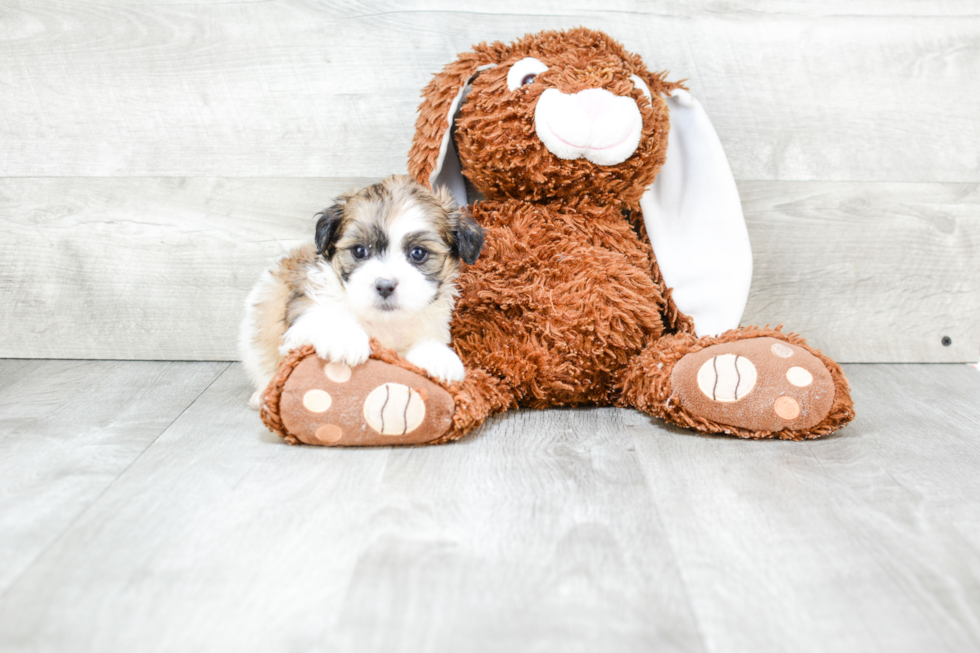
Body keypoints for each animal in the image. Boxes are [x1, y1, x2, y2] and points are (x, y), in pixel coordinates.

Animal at [237, 173, 482, 408]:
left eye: (418, 253)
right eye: (359, 251)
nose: (385, 285)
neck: (383, 322)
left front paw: (437, 356)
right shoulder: (301, 323)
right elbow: (323, 319)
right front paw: (345, 338)